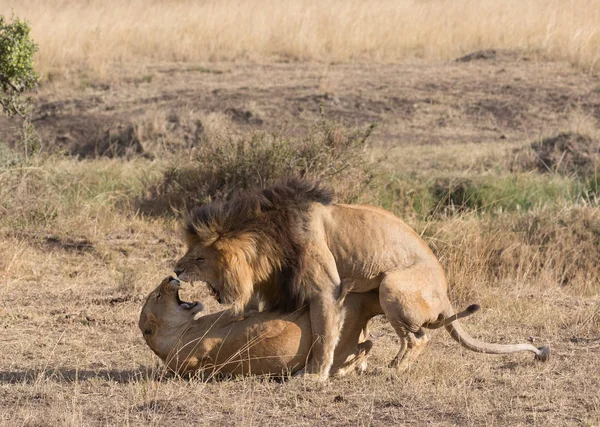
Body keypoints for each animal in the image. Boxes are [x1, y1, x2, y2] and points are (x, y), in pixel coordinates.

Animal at [140, 276, 382, 376]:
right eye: (158, 296)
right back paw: (341, 369)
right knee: (364, 345)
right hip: (347, 323)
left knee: (366, 343)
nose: (169, 276)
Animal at [172, 179, 548, 380]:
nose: (175, 270)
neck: (270, 238)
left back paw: (393, 369)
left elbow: (323, 335)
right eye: (190, 253)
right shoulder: (276, 290)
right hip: (365, 292)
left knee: (419, 338)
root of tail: (445, 296)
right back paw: (359, 366)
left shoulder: (326, 288)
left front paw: (314, 376)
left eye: (199, 258)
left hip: (392, 286)